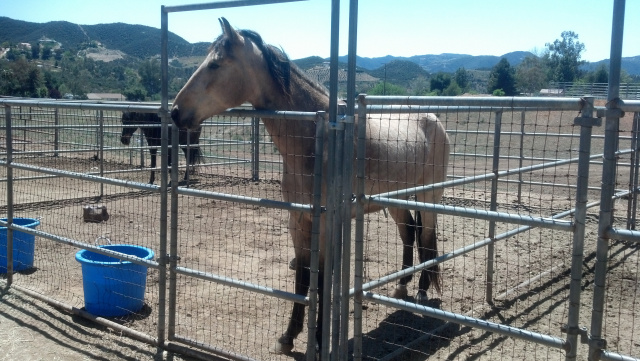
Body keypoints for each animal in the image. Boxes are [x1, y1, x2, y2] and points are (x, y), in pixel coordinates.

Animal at [170, 19, 450, 354]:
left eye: (215, 64)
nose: (175, 112)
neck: (320, 144)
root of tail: (433, 118)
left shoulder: (327, 225)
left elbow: (322, 281)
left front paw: (316, 341)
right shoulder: (298, 221)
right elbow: (302, 280)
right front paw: (288, 336)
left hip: (428, 195)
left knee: (427, 236)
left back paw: (422, 292)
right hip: (394, 200)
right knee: (409, 232)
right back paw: (402, 285)